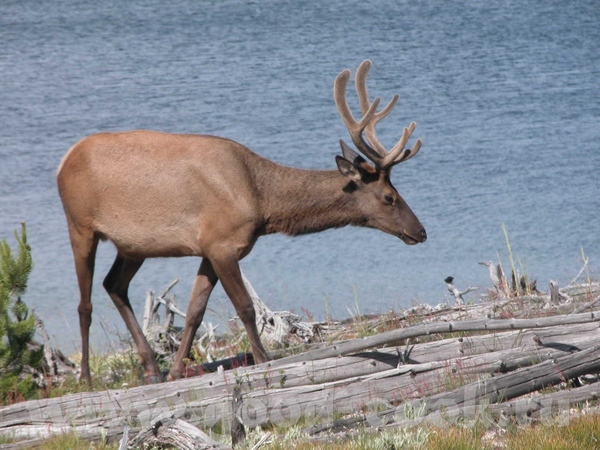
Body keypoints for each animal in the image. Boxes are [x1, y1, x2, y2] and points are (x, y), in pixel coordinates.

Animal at [57, 59, 426, 384]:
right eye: (389, 197)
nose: (420, 231)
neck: (262, 203)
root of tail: (63, 161)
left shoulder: (208, 248)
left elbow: (195, 313)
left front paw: (175, 372)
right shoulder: (222, 244)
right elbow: (246, 308)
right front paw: (264, 360)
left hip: (133, 246)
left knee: (114, 285)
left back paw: (151, 369)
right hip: (80, 226)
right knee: (84, 304)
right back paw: (85, 376)